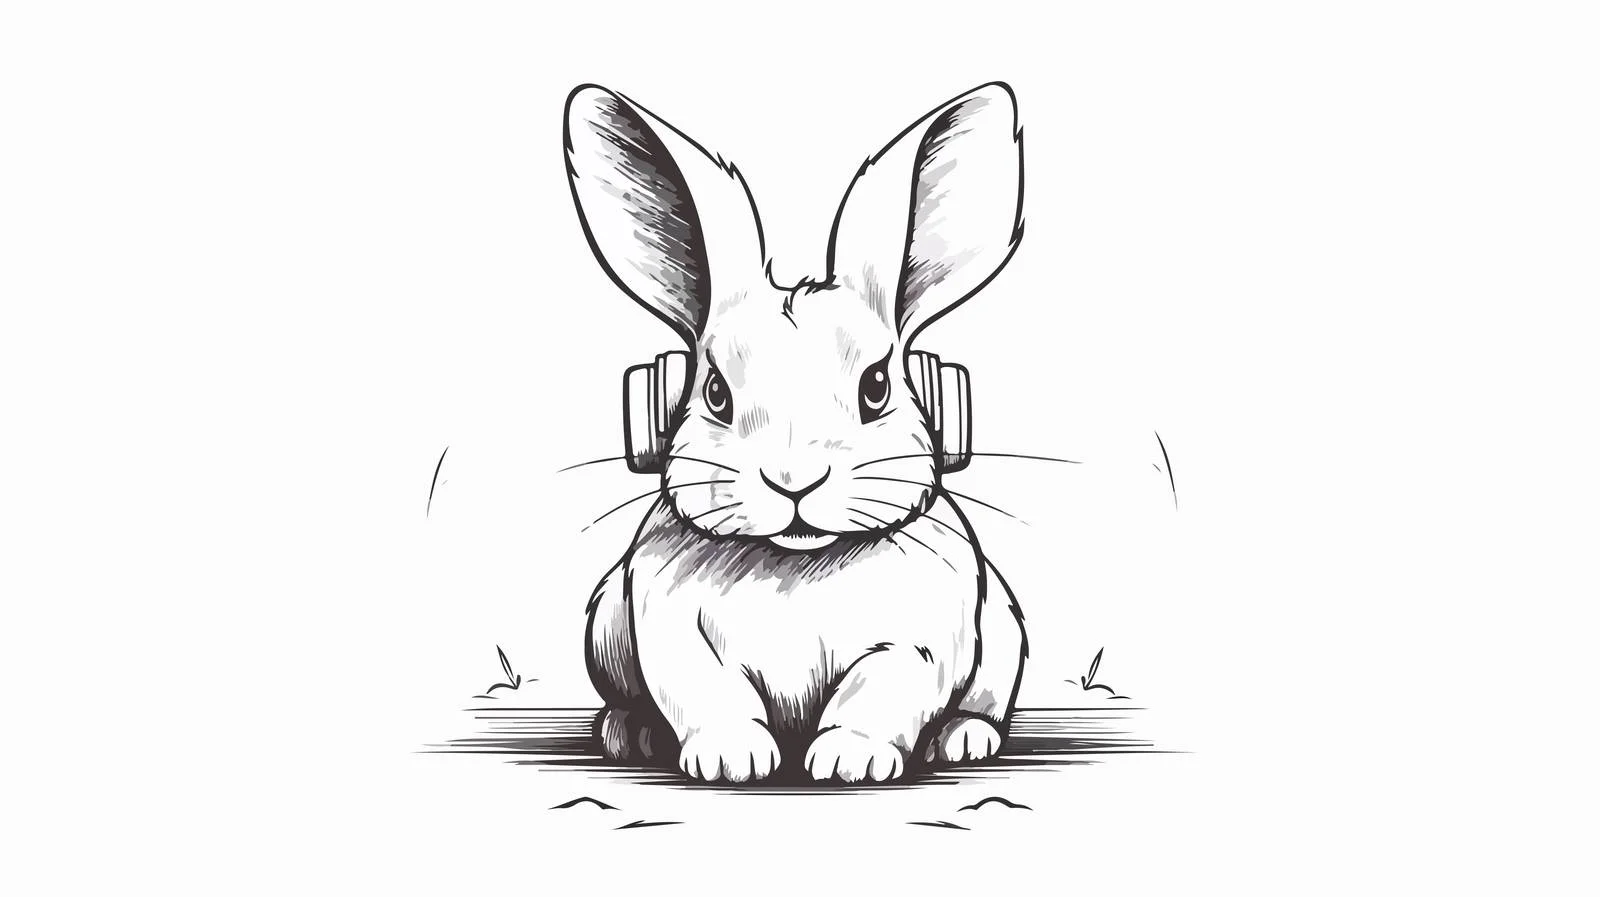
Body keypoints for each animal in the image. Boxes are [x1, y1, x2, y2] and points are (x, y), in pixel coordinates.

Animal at [565, 82, 1027, 783]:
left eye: (876, 387)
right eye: (715, 392)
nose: (793, 481)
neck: (796, 563)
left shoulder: (914, 645)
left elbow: (876, 695)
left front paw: (849, 761)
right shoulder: (672, 632)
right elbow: (707, 694)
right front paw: (730, 759)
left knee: (981, 704)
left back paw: (964, 739)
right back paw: (630, 733)